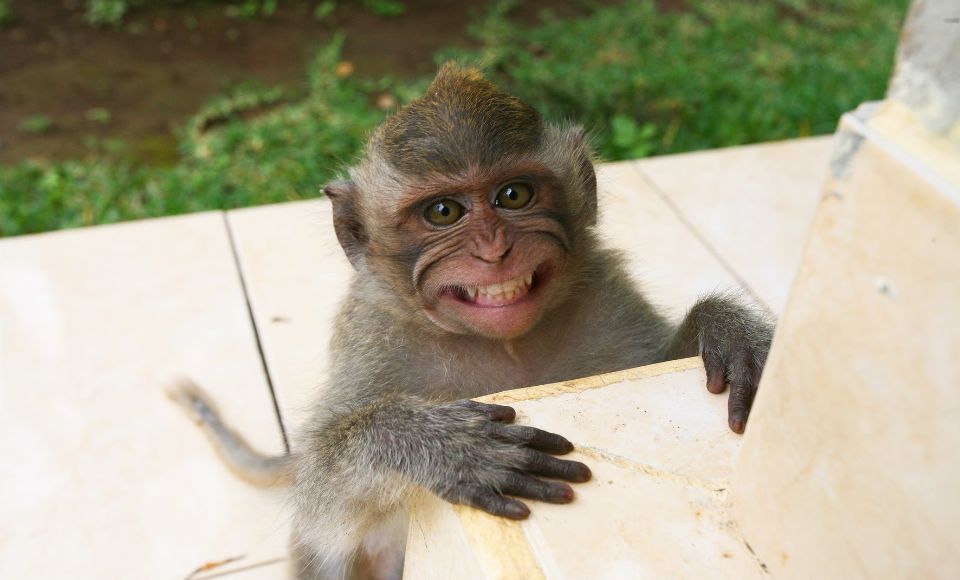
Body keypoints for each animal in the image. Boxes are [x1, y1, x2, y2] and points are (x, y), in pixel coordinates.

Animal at [170, 63, 773, 579]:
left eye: (514, 195)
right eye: (444, 212)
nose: (494, 251)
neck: (506, 347)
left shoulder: (607, 295)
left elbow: (658, 364)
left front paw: (729, 331)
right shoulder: (372, 337)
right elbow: (322, 493)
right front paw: (439, 444)